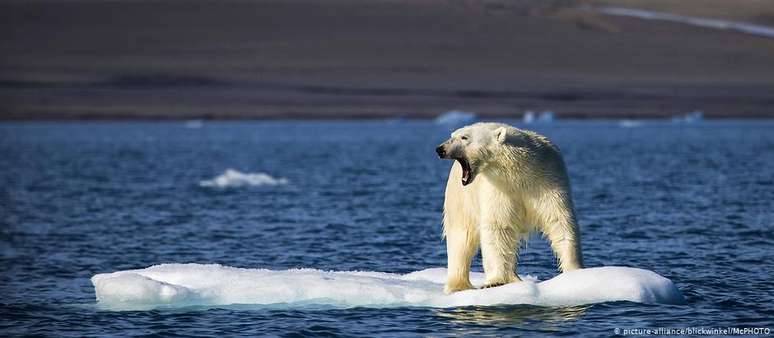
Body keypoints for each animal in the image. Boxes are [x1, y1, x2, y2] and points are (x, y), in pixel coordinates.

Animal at [436, 121, 584, 294]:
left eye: (464, 137)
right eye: (452, 135)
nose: (440, 149)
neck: (519, 174)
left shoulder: (549, 179)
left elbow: (559, 220)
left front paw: (573, 271)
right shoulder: (498, 189)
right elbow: (499, 228)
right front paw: (496, 281)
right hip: (460, 199)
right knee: (460, 238)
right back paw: (458, 285)